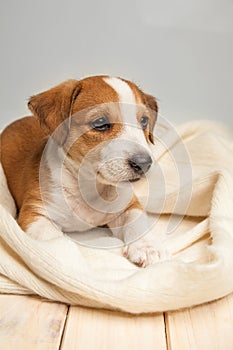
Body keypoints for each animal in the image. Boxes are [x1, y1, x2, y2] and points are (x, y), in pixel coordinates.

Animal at [0, 75, 158, 266]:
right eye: (100, 123)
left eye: (144, 121)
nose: (144, 163)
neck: (89, 186)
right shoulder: (35, 215)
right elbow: (56, 240)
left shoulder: (129, 205)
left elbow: (137, 221)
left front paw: (145, 246)